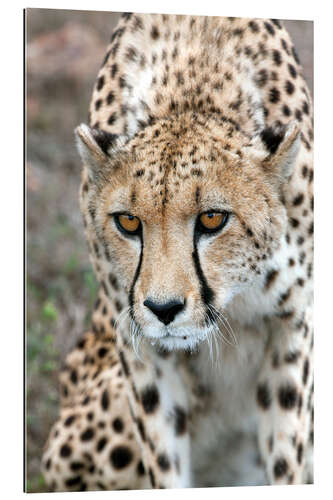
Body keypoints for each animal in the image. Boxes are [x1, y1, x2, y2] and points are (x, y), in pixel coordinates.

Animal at [40, 13, 312, 490]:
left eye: (212, 219)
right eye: (129, 222)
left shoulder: (292, 328)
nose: (164, 309)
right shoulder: (139, 345)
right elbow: (165, 461)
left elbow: (286, 460)